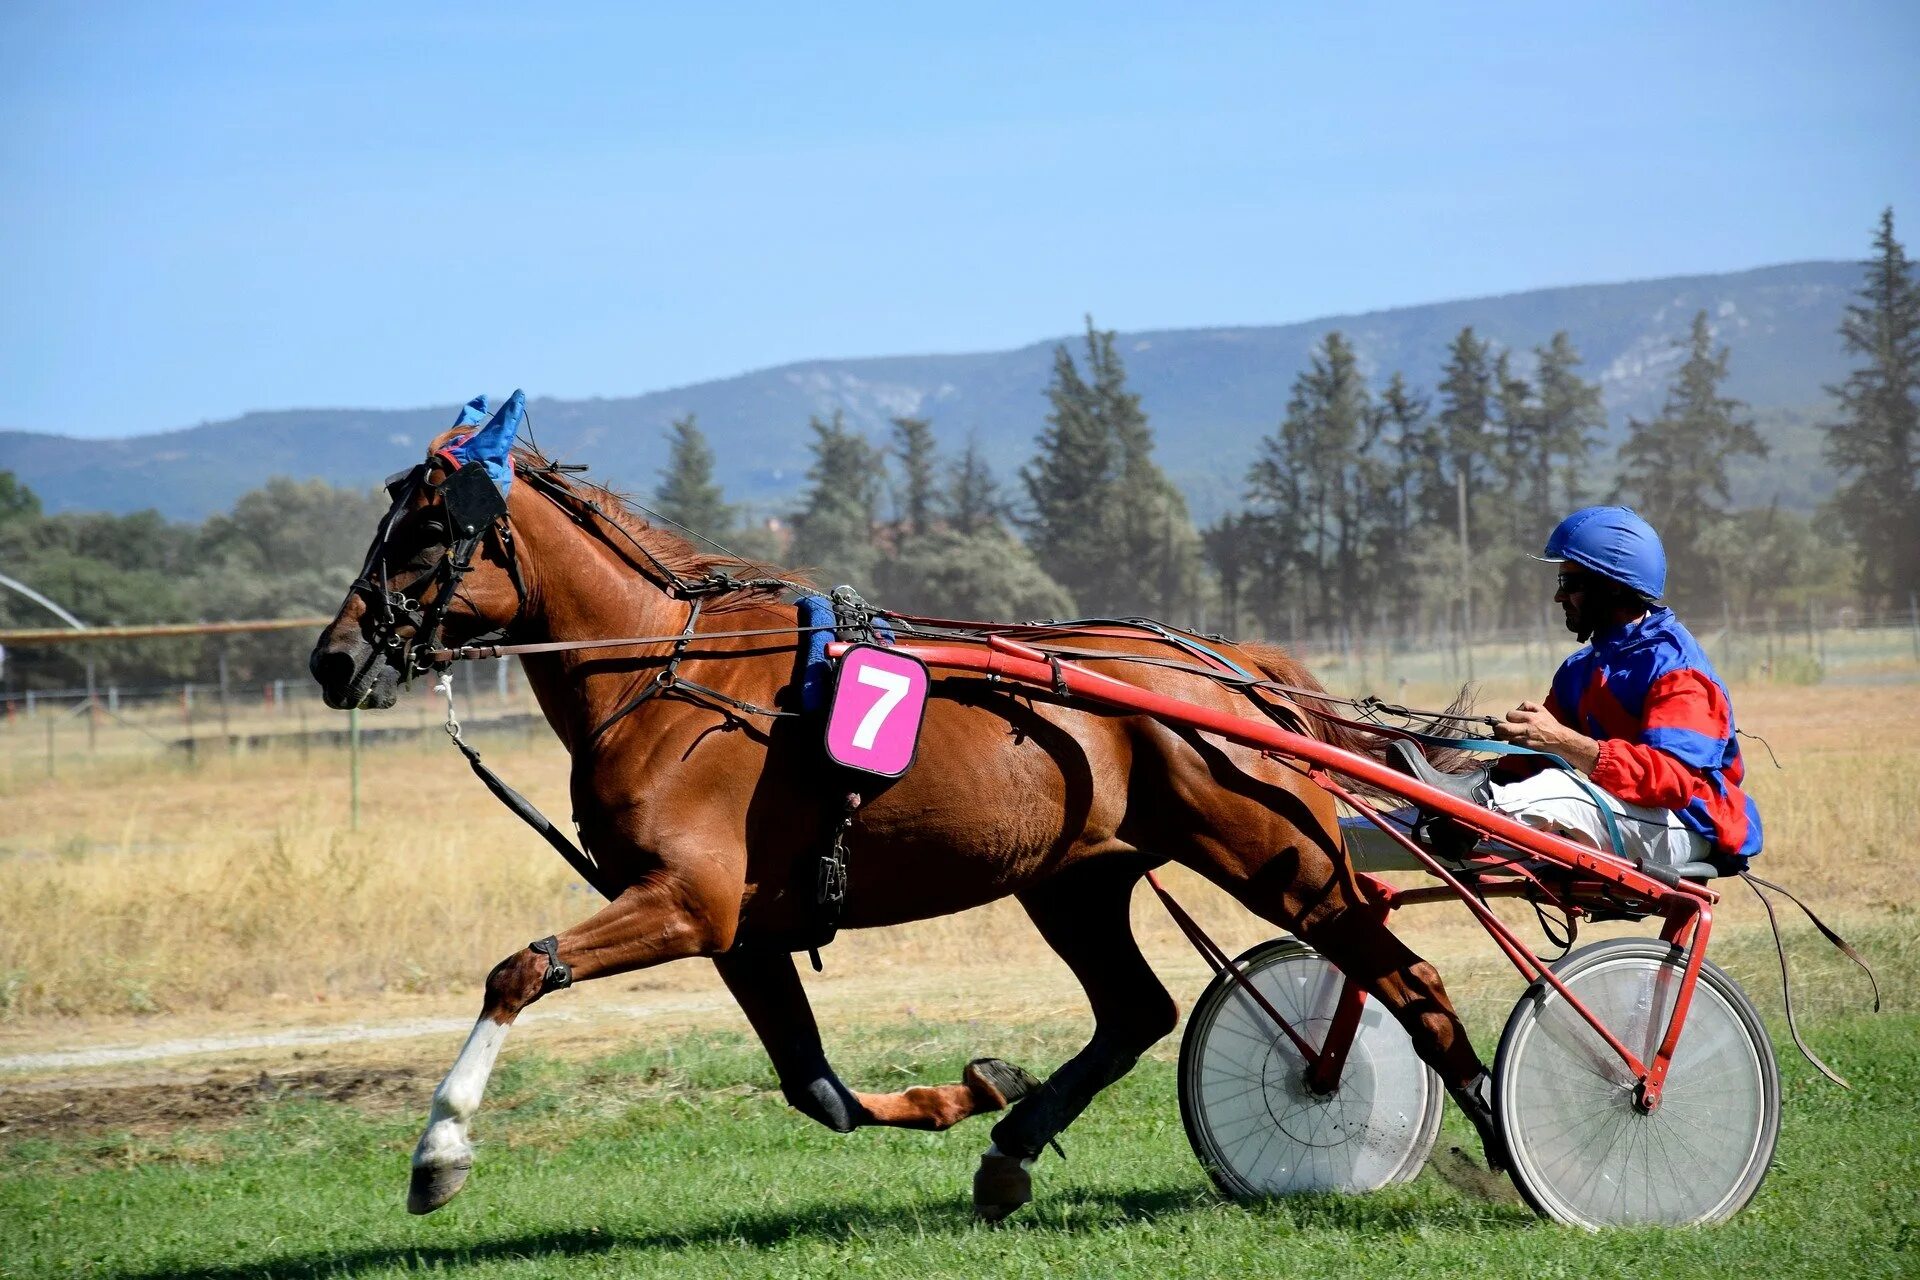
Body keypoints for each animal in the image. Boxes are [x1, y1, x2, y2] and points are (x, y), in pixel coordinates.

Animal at [311, 395, 1497, 1228]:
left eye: (426, 531)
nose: (333, 658)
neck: (666, 676)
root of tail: (1225, 665)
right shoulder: (741, 930)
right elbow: (817, 1089)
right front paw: (966, 1094)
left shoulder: (687, 903)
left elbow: (518, 970)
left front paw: (439, 1153)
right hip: (1075, 879)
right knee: (1137, 1011)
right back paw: (1010, 1149)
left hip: (1277, 856)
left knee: (1405, 973)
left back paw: (1496, 1128)